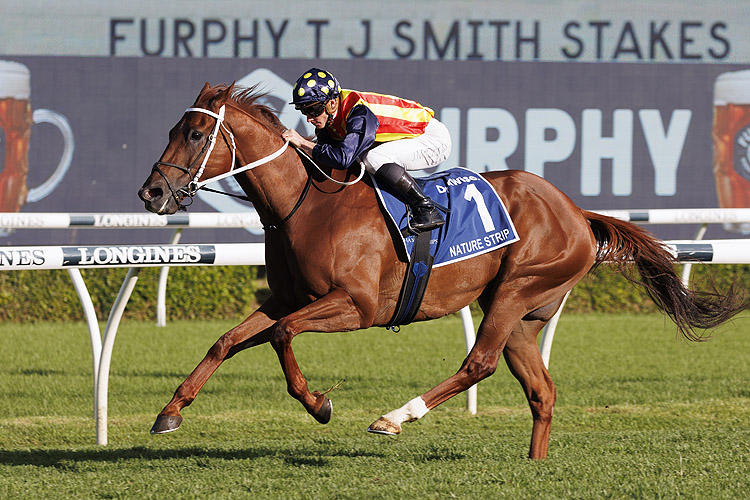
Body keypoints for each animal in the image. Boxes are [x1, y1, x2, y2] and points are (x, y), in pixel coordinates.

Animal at [140, 81, 748, 458]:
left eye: (195, 134)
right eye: (171, 129)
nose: (151, 193)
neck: (307, 203)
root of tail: (577, 212)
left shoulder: (356, 305)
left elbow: (283, 337)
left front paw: (320, 405)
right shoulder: (288, 297)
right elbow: (227, 341)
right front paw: (169, 412)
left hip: (519, 286)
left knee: (479, 363)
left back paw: (393, 417)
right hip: (517, 309)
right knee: (540, 389)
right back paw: (533, 464)